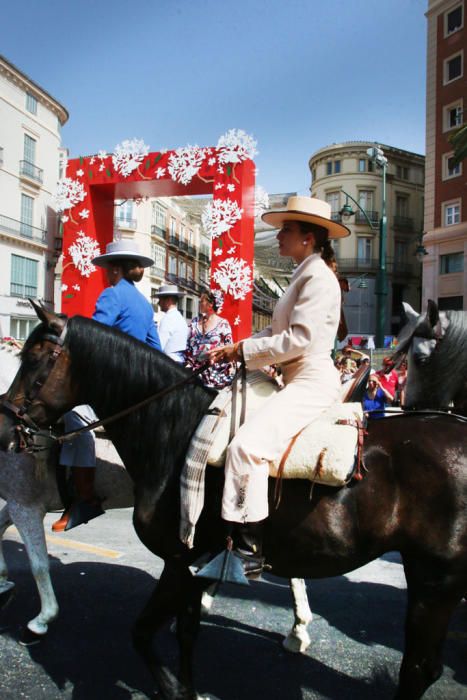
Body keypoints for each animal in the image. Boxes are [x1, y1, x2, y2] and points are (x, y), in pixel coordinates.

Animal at [0, 344, 314, 652]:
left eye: (32, 364)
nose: (7, 433)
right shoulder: (16, 503)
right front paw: (4, 584)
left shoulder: (25, 504)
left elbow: (38, 564)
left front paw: (40, 621)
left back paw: (296, 628)